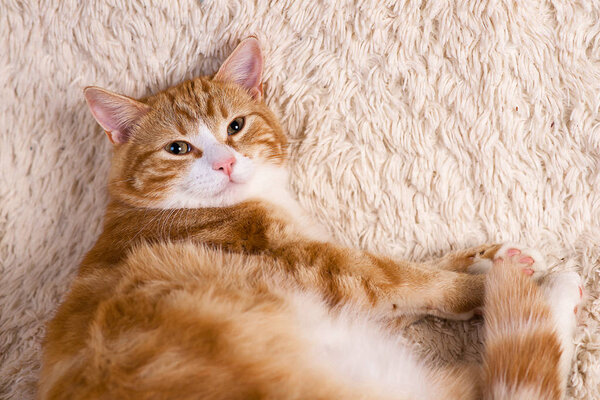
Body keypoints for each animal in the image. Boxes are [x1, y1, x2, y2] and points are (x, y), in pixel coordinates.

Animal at [38, 37, 580, 400]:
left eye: (236, 126)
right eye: (178, 148)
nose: (225, 163)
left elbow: (416, 270)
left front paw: (488, 258)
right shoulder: (312, 264)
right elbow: (403, 278)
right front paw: (483, 283)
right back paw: (557, 290)